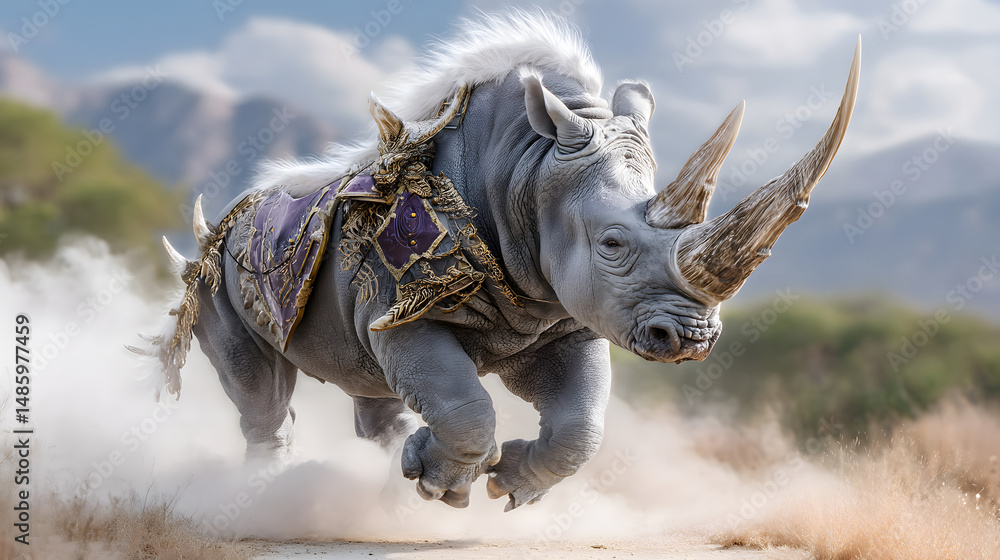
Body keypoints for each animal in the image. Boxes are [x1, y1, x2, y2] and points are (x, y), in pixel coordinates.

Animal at [137, 14, 860, 511]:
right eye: (613, 245)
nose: (691, 340)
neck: (527, 167)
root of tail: (221, 224)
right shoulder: (402, 307)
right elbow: (465, 403)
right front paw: (442, 486)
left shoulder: (562, 315)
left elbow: (582, 424)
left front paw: (506, 486)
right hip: (215, 280)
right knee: (259, 389)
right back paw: (268, 494)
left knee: (366, 383)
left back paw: (381, 473)